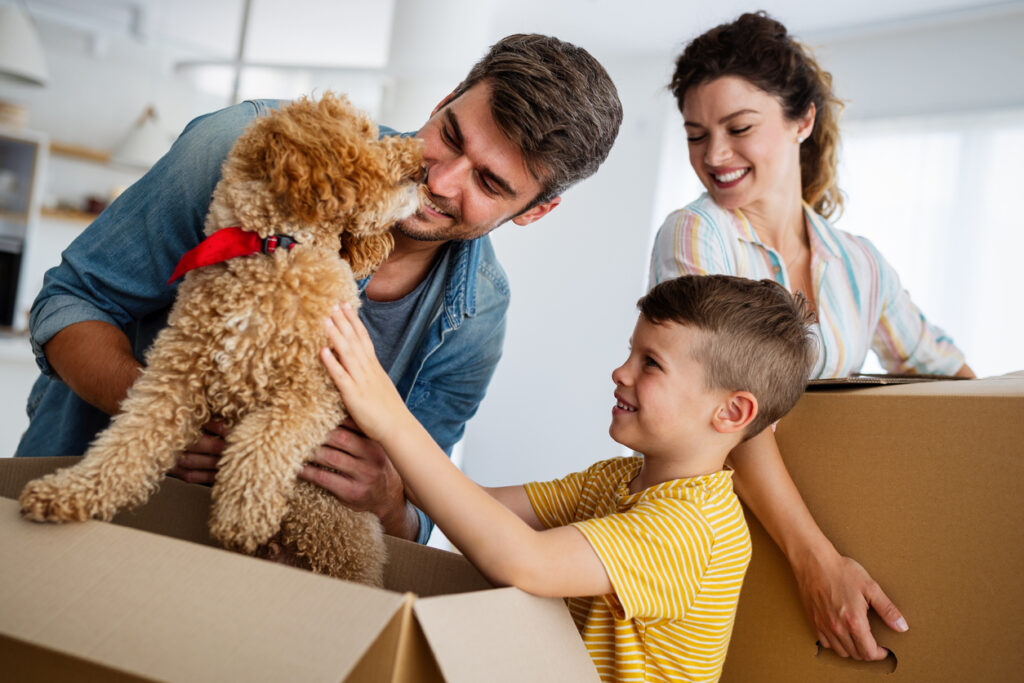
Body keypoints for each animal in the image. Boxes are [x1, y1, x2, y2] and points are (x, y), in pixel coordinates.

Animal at [19, 92, 421, 589]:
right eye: (366, 135)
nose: (422, 161)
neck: (272, 249)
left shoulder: (318, 390)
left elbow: (262, 440)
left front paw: (241, 515)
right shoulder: (171, 381)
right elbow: (125, 444)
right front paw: (69, 491)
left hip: (340, 537)